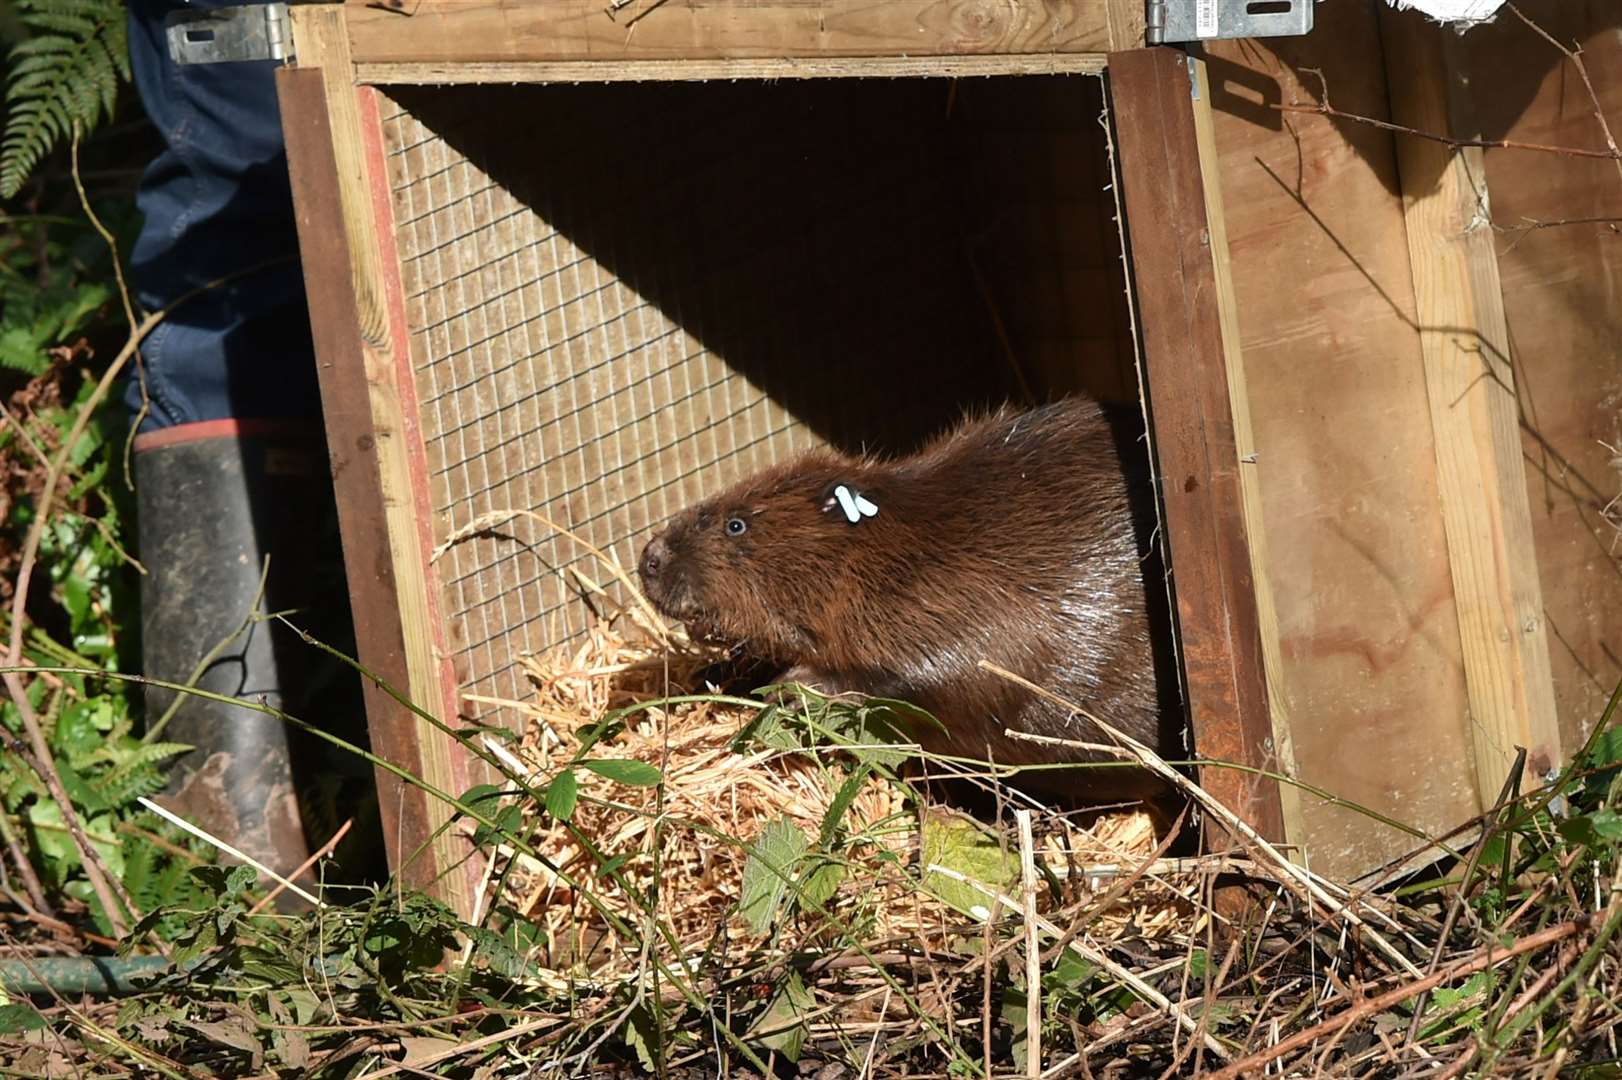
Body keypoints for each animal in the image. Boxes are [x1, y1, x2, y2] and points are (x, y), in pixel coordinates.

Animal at [639, 395, 1187, 797]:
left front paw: (792, 686)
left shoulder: (966, 601)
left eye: (736, 524)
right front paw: (716, 672)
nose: (649, 560)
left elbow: (955, 676)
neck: (900, 542)